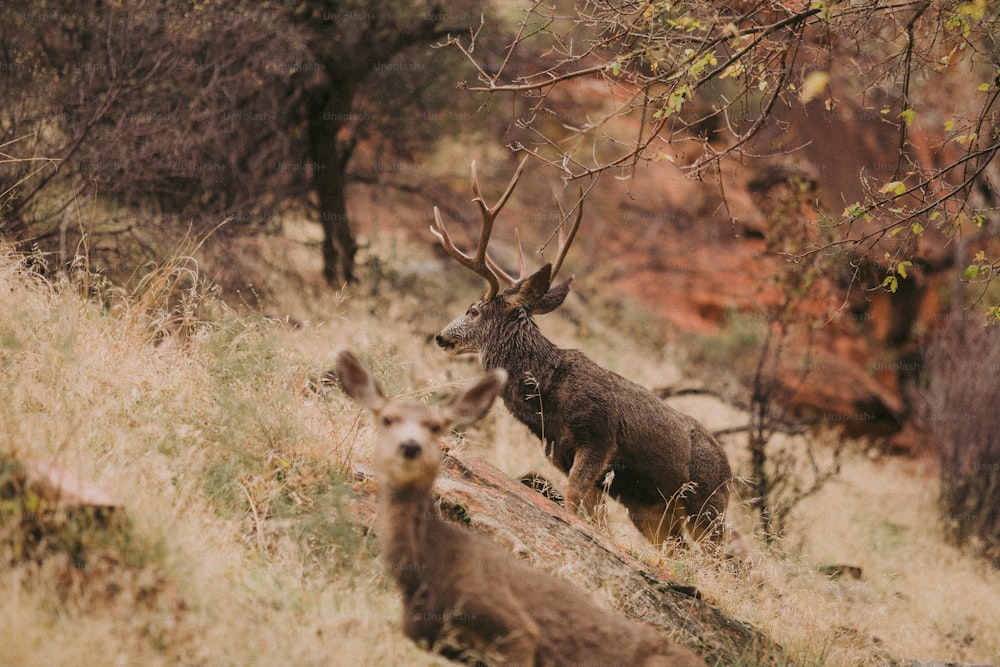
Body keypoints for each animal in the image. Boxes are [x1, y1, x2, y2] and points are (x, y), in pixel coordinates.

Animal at [432, 160, 736, 548]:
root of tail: (730, 471)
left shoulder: (598, 438)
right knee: (678, 548)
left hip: (707, 504)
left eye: (473, 310)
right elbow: (590, 514)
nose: (441, 337)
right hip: (652, 510)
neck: (546, 391)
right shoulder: (562, 454)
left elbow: (574, 501)